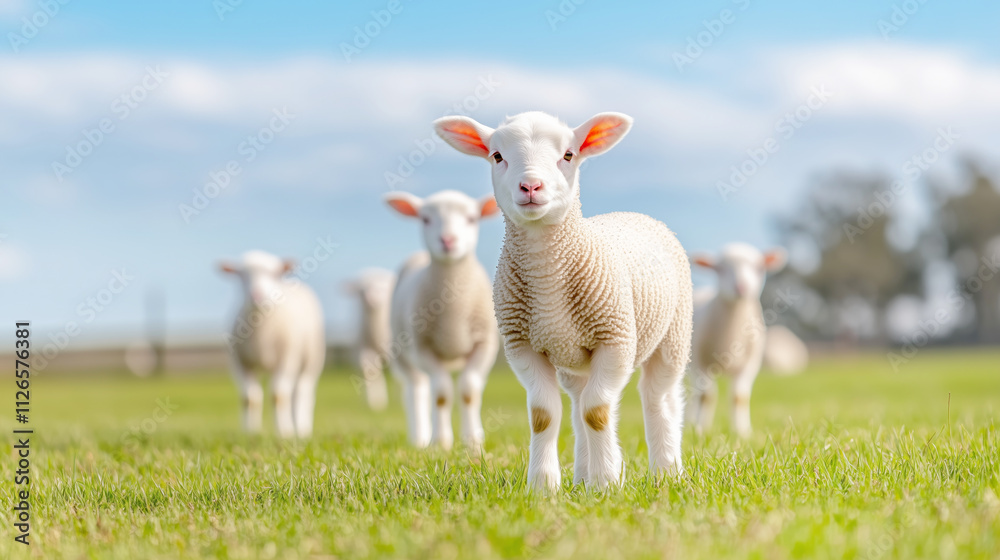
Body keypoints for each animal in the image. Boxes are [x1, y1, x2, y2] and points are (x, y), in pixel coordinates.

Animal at [219, 250, 326, 438]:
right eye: (241, 275)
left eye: (273, 274)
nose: (257, 295)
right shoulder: (239, 362)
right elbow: (249, 398)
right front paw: (251, 433)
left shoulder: (286, 358)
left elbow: (278, 396)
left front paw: (284, 432)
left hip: (311, 359)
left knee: (302, 393)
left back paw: (302, 429)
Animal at [343, 268, 396, 411]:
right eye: (361, 290)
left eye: (383, 288)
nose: (370, 298)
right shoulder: (364, 349)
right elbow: (370, 372)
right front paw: (375, 403)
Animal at [383, 190, 500, 450]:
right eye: (425, 219)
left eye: (472, 219)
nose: (447, 241)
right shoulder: (423, 347)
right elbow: (441, 394)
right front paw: (441, 442)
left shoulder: (485, 345)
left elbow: (469, 390)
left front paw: (473, 442)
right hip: (402, 353)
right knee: (417, 389)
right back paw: (420, 438)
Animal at [434, 111, 693, 492]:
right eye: (497, 155)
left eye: (568, 155)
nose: (530, 186)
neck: (548, 280)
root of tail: (638, 214)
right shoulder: (523, 346)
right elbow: (544, 415)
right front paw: (544, 486)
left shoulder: (615, 339)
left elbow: (597, 412)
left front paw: (606, 482)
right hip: (574, 360)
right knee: (577, 402)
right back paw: (583, 476)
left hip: (673, 335)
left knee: (657, 398)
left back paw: (666, 472)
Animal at [686, 243, 786, 438]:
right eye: (719, 269)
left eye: (759, 267)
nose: (741, 287)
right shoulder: (699, 362)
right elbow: (706, 396)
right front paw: (701, 431)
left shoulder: (751, 363)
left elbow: (739, 397)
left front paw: (742, 432)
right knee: (695, 394)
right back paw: (692, 424)